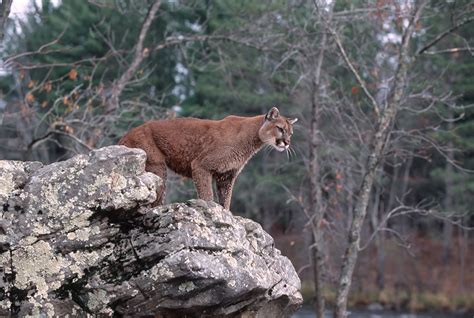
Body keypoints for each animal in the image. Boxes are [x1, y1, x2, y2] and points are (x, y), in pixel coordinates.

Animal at [118, 107, 296, 210]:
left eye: (290, 133)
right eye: (280, 129)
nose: (287, 143)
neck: (251, 140)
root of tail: (125, 136)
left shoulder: (227, 176)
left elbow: (226, 199)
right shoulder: (200, 165)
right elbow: (207, 194)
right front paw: (209, 210)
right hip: (157, 166)